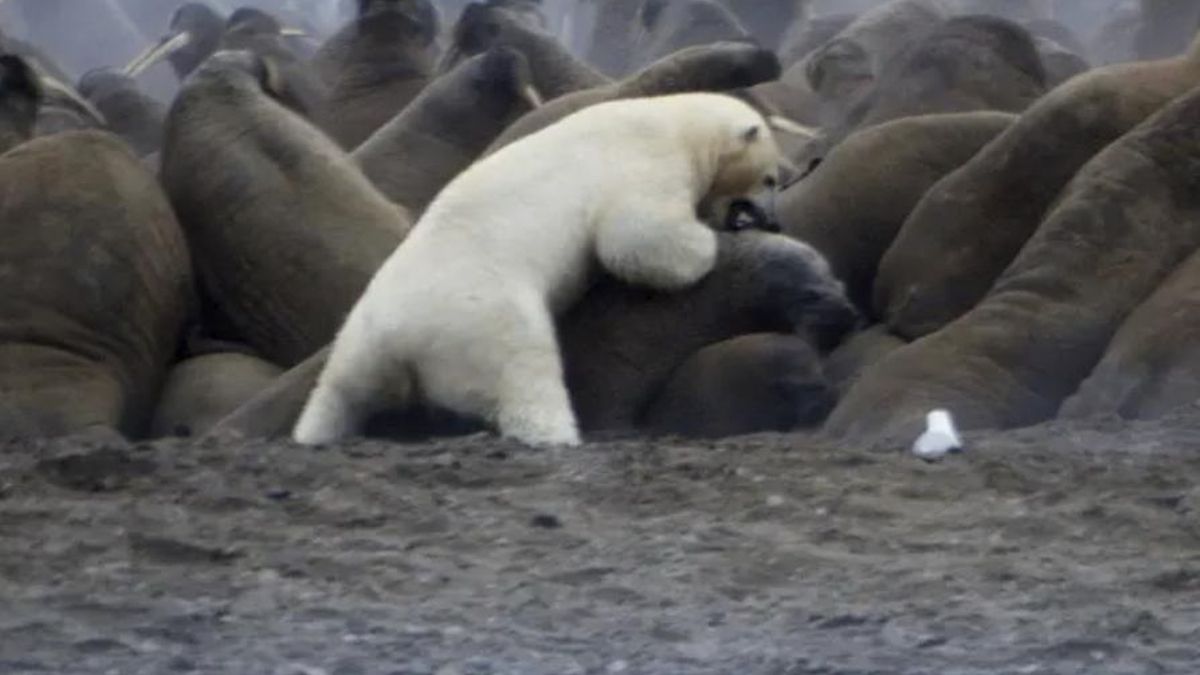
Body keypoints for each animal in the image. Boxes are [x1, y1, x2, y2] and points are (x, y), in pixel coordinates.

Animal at [292, 92, 783, 447]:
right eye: (772, 178)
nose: (772, 219)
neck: (677, 122)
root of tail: (401, 338)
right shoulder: (644, 160)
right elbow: (633, 237)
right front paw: (704, 245)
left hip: (360, 338)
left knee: (339, 389)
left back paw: (315, 431)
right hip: (484, 318)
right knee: (525, 372)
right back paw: (558, 434)